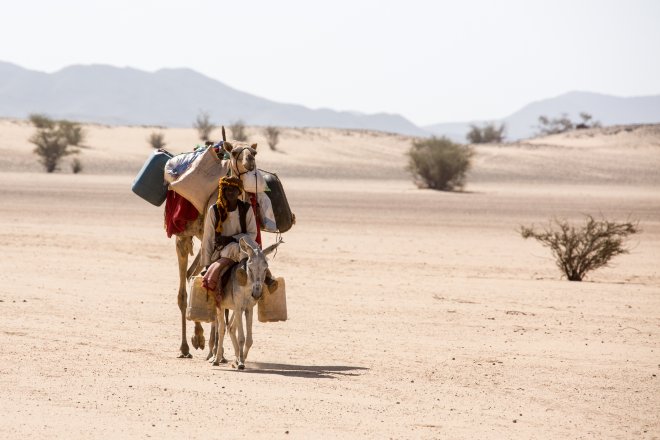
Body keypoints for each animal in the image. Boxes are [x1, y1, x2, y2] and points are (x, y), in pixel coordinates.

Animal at [174, 139, 260, 360]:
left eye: (254, 151)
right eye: (236, 152)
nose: (250, 161)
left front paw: (217, 351)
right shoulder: (210, 236)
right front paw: (213, 350)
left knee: (192, 274)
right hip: (184, 237)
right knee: (185, 283)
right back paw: (187, 345)